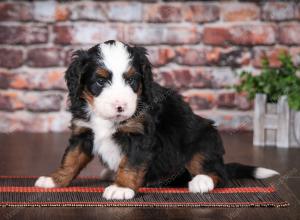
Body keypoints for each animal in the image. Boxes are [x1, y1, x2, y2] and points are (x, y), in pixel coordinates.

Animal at [35, 40, 278, 200]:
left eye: (132, 80)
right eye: (100, 81)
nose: (120, 106)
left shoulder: (140, 136)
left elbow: (130, 163)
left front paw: (121, 188)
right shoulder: (83, 132)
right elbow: (70, 159)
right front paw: (55, 180)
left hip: (203, 138)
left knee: (217, 172)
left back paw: (201, 181)